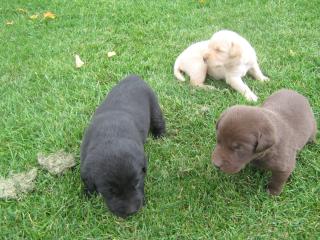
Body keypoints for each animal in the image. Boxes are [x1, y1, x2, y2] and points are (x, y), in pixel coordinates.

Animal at [80, 74, 166, 218]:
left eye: (137, 183)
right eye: (111, 191)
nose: (131, 212)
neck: (111, 135)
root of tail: (133, 77)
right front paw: (88, 193)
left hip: (154, 105)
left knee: (158, 120)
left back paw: (160, 136)